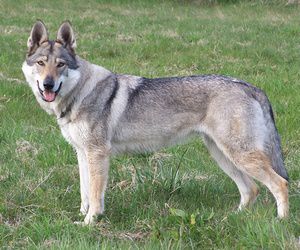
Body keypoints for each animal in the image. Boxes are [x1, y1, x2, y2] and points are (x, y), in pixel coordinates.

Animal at [21, 21, 288, 225]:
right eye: (41, 63)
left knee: (280, 183)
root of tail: (250, 86)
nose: (48, 84)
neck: (80, 93)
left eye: (61, 64)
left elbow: (96, 196)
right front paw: (82, 216)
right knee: (251, 189)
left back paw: (281, 221)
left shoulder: (97, 153)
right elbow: (85, 193)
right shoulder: (82, 153)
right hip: (222, 155)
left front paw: (90, 223)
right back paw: (233, 218)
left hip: (238, 155)